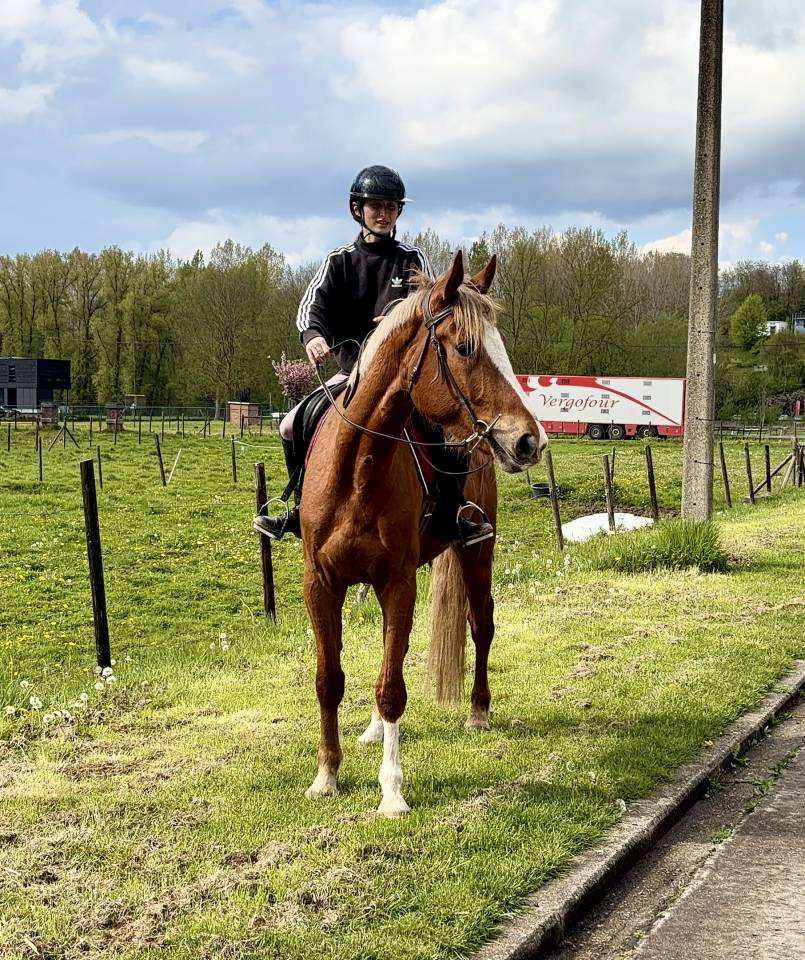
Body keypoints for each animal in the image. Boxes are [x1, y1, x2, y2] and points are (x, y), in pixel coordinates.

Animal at [300, 250, 547, 816]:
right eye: (465, 347)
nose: (530, 441)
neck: (358, 469)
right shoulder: (322, 585)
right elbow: (330, 680)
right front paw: (327, 774)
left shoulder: (399, 582)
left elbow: (392, 687)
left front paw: (391, 791)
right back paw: (372, 730)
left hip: (477, 555)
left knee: (481, 627)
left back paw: (478, 711)